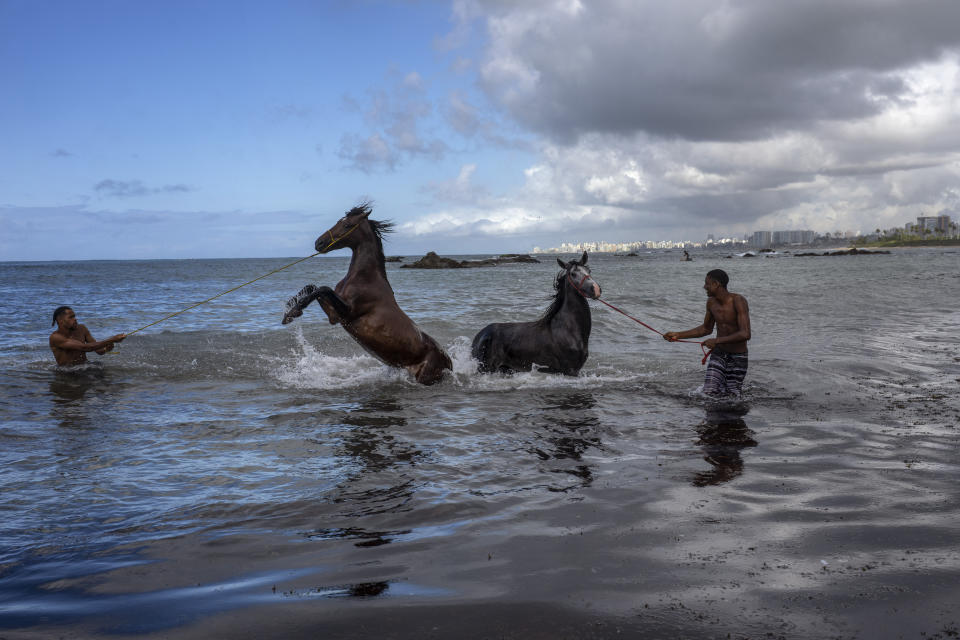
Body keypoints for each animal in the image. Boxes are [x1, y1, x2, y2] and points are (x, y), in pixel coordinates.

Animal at [282, 205, 454, 384]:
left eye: (347, 225)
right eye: (339, 221)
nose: (319, 243)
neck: (365, 278)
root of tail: (449, 363)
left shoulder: (348, 312)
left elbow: (323, 288)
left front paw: (293, 312)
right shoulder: (334, 316)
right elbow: (313, 288)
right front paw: (291, 310)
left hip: (424, 377)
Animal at [470, 252, 600, 378]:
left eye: (589, 271)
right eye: (573, 274)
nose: (596, 289)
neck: (568, 329)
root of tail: (480, 336)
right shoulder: (570, 371)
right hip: (486, 368)